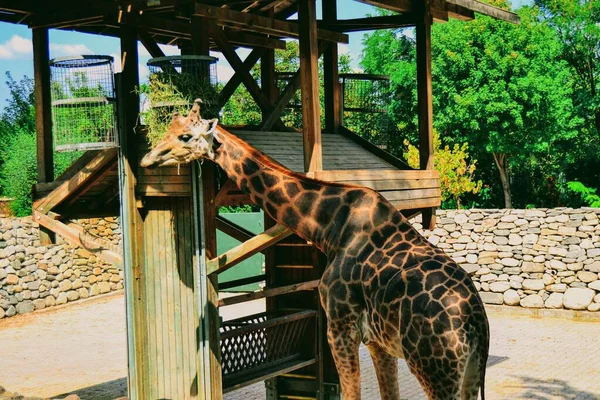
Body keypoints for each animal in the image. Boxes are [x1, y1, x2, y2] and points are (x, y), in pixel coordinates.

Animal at [142, 99, 492, 396]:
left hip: (433, 367)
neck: (329, 228)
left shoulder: (339, 326)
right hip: (468, 373)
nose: (148, 159)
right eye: (166, 130)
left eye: (185, 136)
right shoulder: (377, 342)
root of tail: (475, 322)